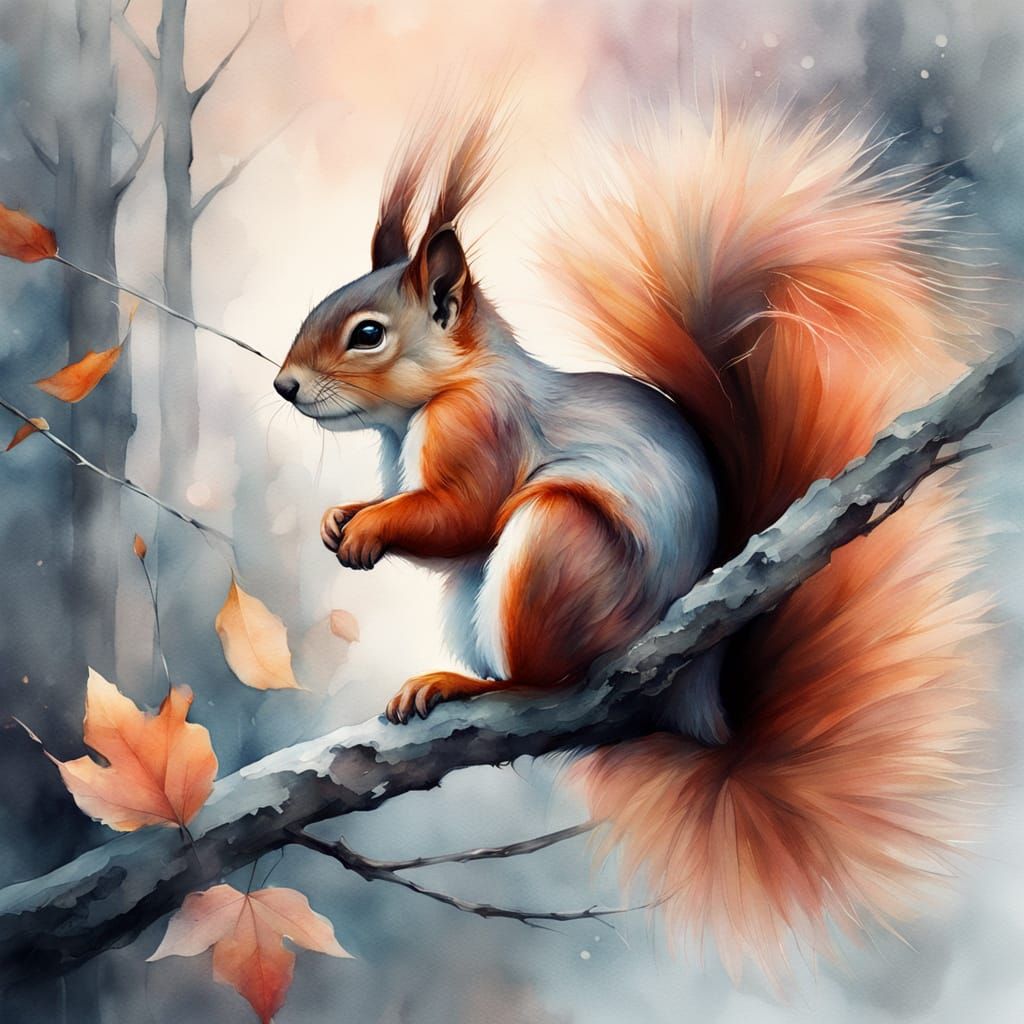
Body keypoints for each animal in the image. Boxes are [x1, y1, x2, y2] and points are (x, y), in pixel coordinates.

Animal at [275, 99, 994, 980]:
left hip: (556, 546)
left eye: (368, 334)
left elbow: (463, 517)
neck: (439, 394)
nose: (284, 385)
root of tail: (689, 698)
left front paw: (369, 527)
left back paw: (467, 687)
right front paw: (339, 516)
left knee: (549, 682)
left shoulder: (483, 434)